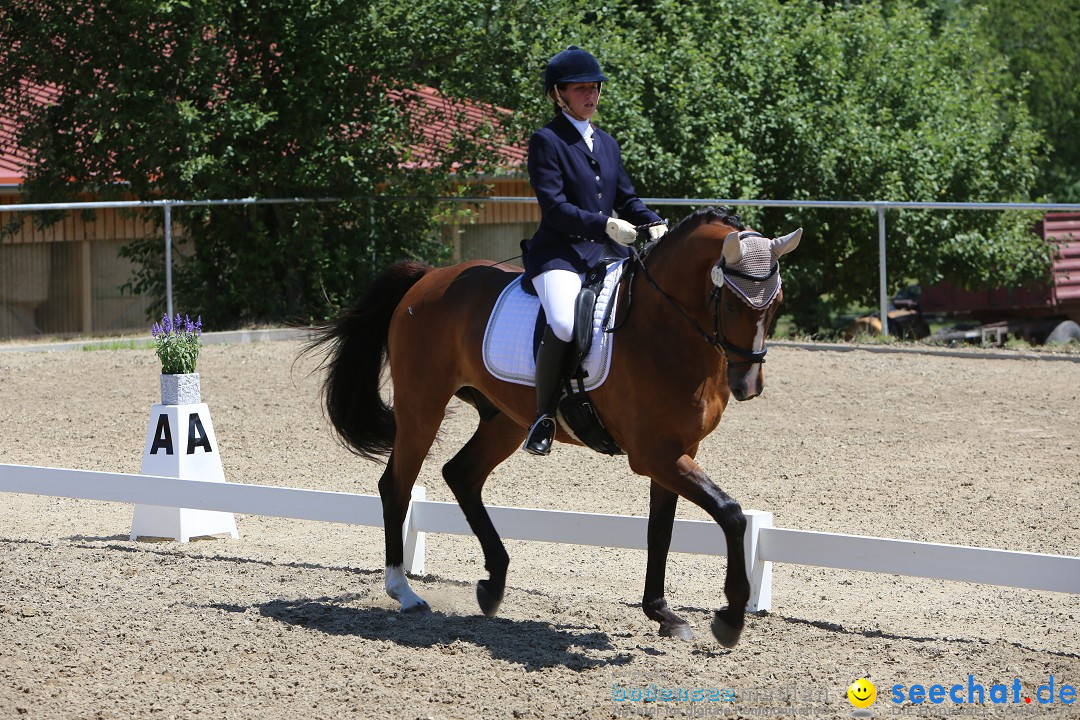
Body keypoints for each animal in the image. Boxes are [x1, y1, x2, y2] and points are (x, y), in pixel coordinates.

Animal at [304, 207, 803, 647]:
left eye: (776, 303)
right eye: (731, 302)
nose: (748, 385)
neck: (664, 327)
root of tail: (429, 277)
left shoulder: (679, 451)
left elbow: (660, 529)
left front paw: (663, 613)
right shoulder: (654, 455)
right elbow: (731, 514)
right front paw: (730, 618)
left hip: (506, 419)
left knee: (461, 474)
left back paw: (493, 583)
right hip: (422, 408)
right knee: (398, 485)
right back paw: (405, 593)